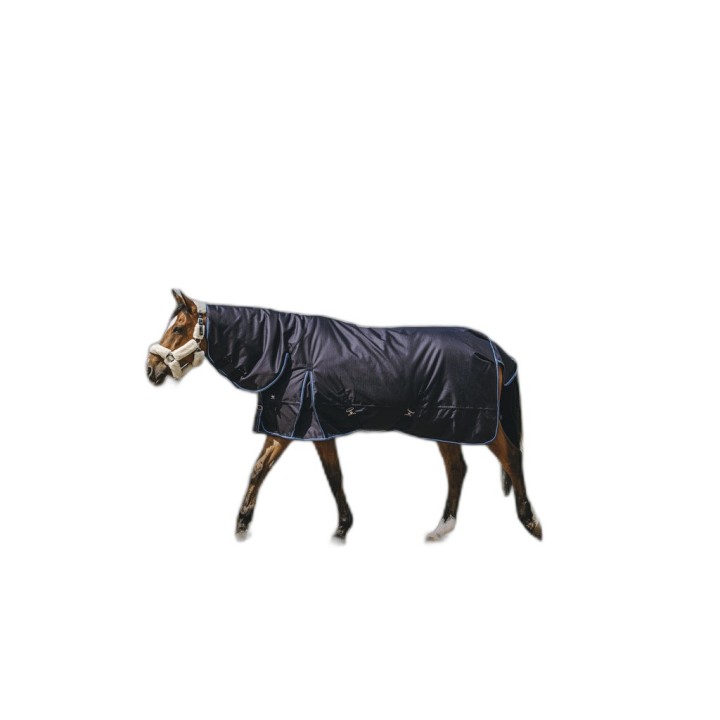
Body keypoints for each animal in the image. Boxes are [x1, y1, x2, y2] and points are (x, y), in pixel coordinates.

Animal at [147, 289, 542, 542]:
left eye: (178, 328)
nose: (151, 368)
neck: (286, 349)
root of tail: (491, 348)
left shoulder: (293, 424)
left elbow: (265, 470)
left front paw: (242, 527)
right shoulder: (313, 427)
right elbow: (326, 475)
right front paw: (341, 527)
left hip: (475, 423)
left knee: (511, 456)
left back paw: (531, 523)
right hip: (446, 424)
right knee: (457, 469)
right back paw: (441, 529)